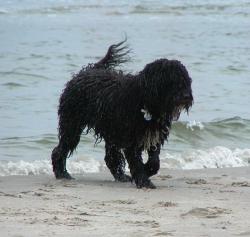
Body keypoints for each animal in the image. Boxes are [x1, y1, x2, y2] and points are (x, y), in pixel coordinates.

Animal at [51, 40, 193, 189]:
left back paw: (121, 176)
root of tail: (85, 72)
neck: (144, 100)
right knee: (59, 150)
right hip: (72, 124)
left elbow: (155, 162)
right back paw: (62, 173)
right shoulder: (131, 139)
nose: (187, 96)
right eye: (172, 81)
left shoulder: (154, 135)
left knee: (110, 157)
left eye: (186, 81)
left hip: (110, 130)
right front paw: (144, 181)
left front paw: (147, 170)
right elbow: (136, 161)